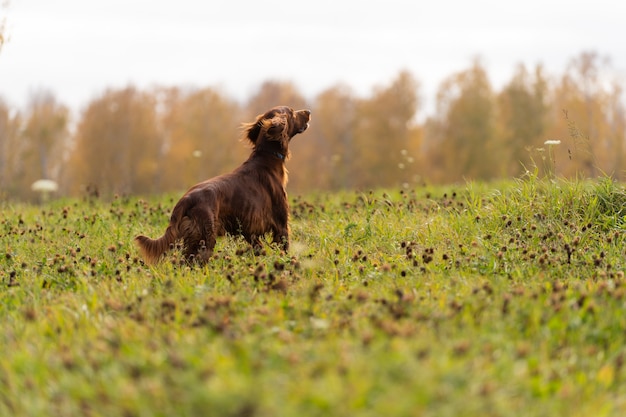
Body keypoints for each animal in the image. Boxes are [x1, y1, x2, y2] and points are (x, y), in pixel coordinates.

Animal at [137, 106, 312, 264]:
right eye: (292, 112)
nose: (308, 111)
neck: (266, 158)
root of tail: (186, 199)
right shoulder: (280, 224)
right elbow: (284, 247)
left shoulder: (248, 229)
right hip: (205, 237)